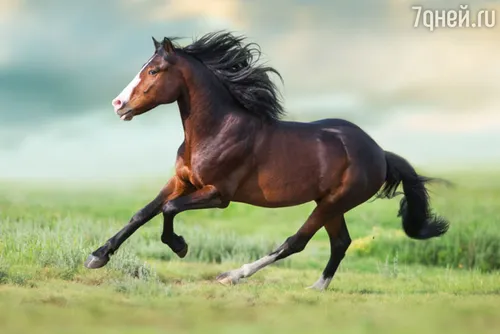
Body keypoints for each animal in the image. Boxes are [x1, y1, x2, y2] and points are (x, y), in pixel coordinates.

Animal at [85, 32, 450, 292]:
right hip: (330, 204)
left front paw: (180, 246)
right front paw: (97, 256)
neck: (216, 130)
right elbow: (142, 212)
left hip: (333, 202)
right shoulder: (182, 181)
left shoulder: (218, 195)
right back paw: (317, 287)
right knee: (340, 243)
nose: (118, 104)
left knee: (296, 242)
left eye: (154, 70)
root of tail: (380, 153)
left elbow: (168, 209)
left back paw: (233, 275)